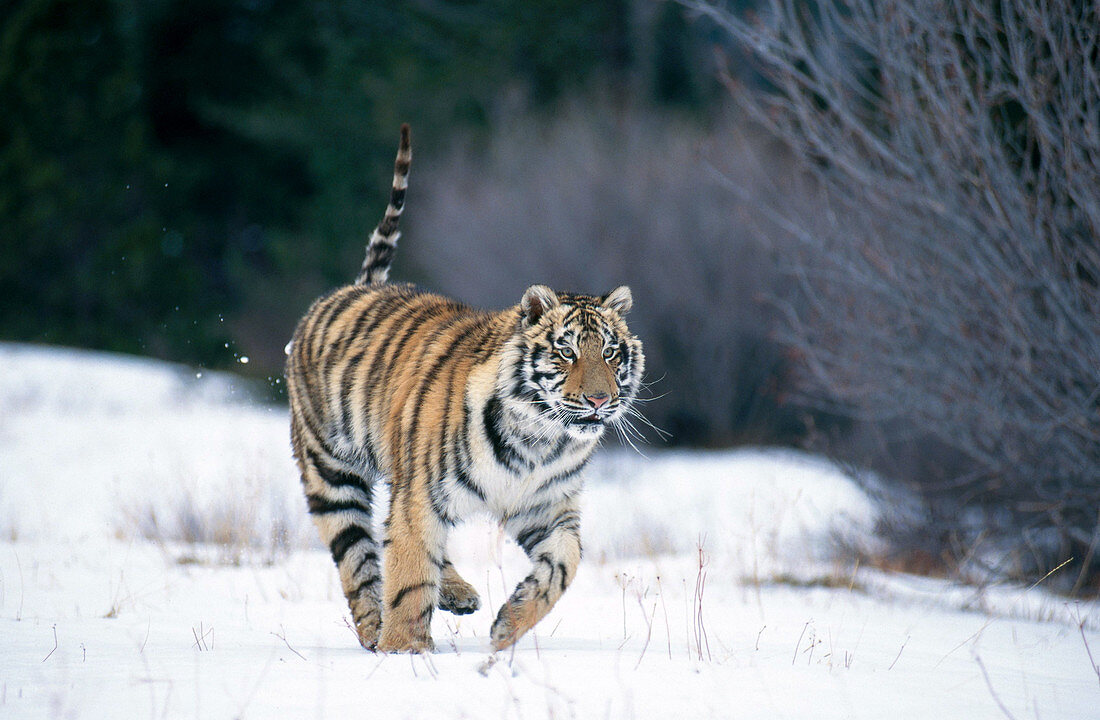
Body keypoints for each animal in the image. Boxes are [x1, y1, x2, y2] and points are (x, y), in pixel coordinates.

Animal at [283, 124, 642, 655]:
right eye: (566, 352)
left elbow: (565, 563)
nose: (600, 400)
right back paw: (374, 630)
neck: (540, 437)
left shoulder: (546, 506)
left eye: (612, 353)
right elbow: (409, 575)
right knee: (361, 558)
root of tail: (354, 288)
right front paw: (405, 651)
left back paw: (458, 594)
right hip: (332, 475)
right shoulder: (422, 495)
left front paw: (510, 625)